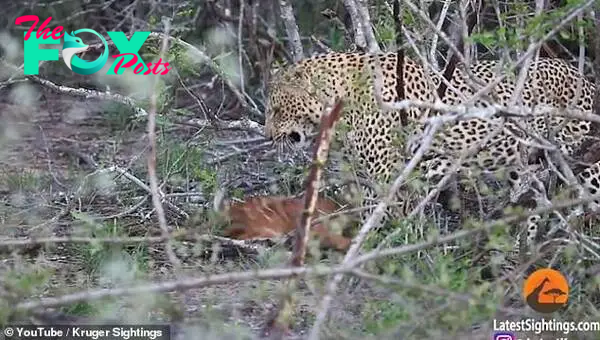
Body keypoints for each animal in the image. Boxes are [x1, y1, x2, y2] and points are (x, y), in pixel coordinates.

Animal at [262, 50, 600, 258]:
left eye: (276, 110)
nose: (266, 135)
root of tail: (584, 77)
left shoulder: (384, 175)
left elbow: (375, 216)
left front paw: (370, 249)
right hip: (524, 162)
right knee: (535, 196)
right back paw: (520, 246)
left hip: (564, 152)